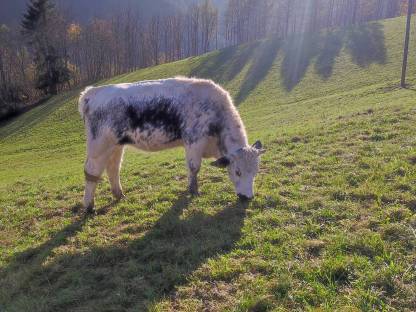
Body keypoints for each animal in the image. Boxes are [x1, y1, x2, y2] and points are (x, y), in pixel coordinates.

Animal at [79, 76, 264, 212]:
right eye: (238, 171)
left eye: (255, 172)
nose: (247, 198)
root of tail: (93, 92)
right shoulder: (194, 141)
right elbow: (194, 167)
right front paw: (194, 191)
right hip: (99, 145)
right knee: (91, 172)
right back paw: (89, 207)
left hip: (116, 145)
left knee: (113, 168)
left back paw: (119, 195)